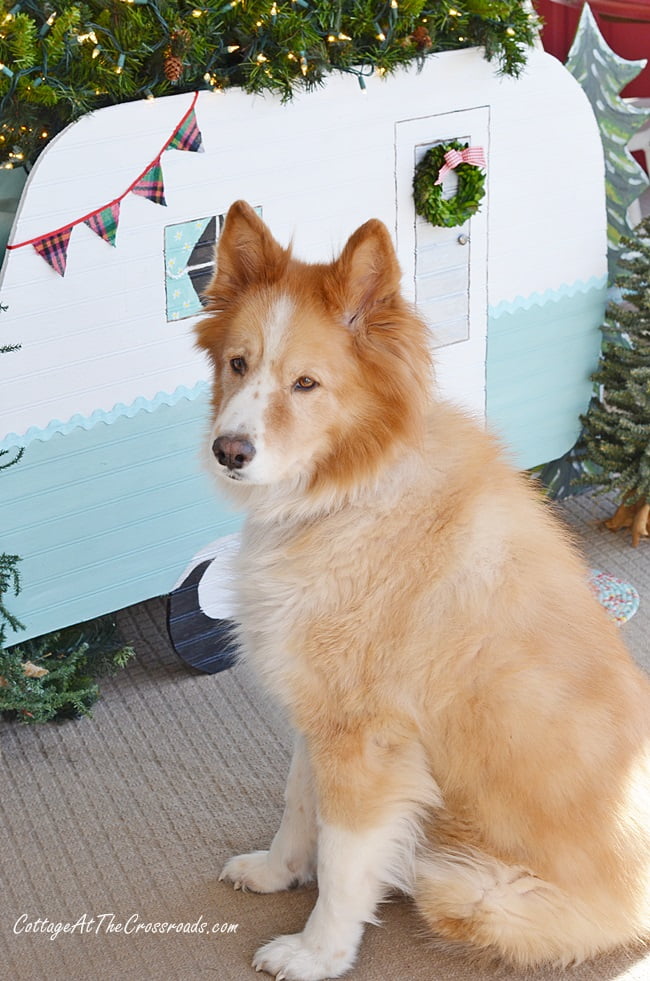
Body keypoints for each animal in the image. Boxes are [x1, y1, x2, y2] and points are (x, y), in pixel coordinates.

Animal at [196, 201, 648, 980]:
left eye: (306, 384)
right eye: (238, 363)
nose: (230, 451)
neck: (349, 495)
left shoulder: (365, 739)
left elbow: (344, 861)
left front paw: (317, 952)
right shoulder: (320, 717)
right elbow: (298, 805)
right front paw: (278, 873)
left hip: (468, 887)